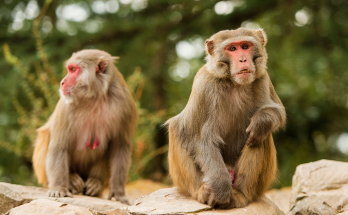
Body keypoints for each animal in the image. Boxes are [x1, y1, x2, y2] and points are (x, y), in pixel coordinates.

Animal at [166, 27, 286, 209]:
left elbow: (278, 112)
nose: (243, 59)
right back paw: (202, 192)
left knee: (260, 137)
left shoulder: (263, 78)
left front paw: (262, 120)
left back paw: (241, 195)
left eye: (245, 46)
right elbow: (199, 137)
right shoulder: (205, 84)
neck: (234, 83)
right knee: (178, 129)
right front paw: (220, 188)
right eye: (232, 49)